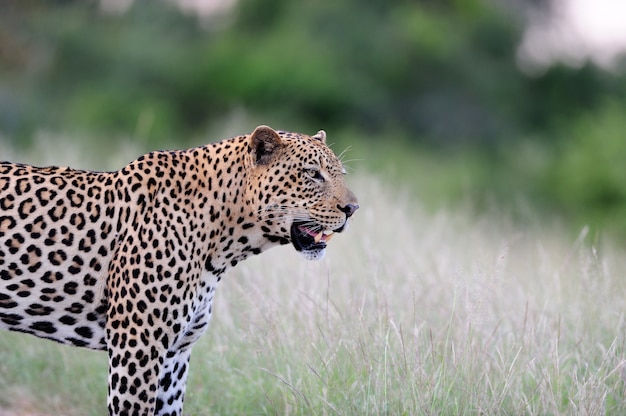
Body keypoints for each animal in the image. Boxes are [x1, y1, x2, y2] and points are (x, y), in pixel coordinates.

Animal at [0, 126, 356, 416]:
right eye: (312, 174)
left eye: (340, 173)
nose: (353, 208)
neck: (223, 245)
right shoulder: (137, 347)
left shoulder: (175, 353)